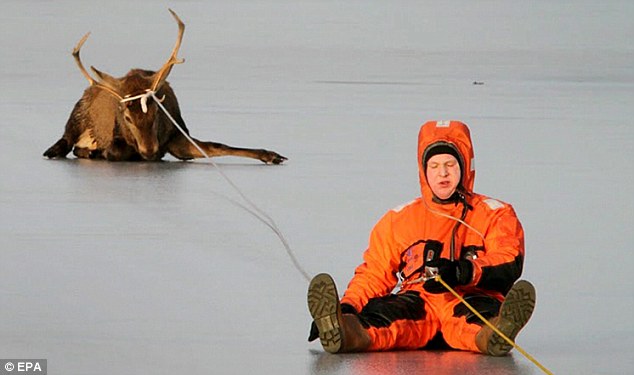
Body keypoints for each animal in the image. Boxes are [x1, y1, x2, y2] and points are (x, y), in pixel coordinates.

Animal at [45, 8, 288, 164]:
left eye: (157, 114)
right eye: (126, 118)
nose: (150, 150)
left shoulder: (178, 137)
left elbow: (217, 146)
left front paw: (271, 155)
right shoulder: (116, 137)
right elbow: (114, 150)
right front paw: (103, 151)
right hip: (76, 117)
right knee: (64, 142)